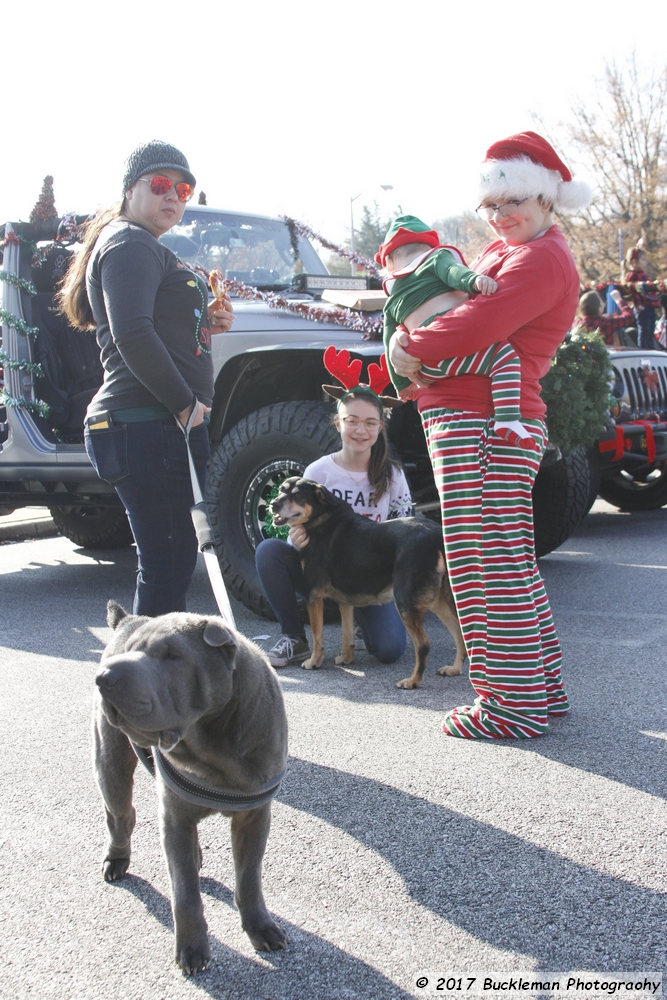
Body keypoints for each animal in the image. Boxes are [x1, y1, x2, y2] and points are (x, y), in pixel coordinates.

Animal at [93, 596, 288, 972]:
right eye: (131, 651)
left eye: (173, 656)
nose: (105, 676)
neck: (212, 745)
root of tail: (127, 618)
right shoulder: (175, 818)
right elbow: (185, 892)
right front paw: (193, 948)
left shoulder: (254, 817)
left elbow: (249, 877)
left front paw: (261, 927)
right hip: (111, 762)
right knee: (121, 816)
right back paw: (117, 860)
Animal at [270, 478, 464, 688]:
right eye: (280, 490)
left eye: (298, 495)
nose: (273, 504)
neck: (321, 518)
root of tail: (437, 533)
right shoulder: (345, 602)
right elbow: (347, 635)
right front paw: (346, 658)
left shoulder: (313, 595)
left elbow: (317, 636)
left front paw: (314, 662)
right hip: (438, 601)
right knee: (459, 633)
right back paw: (454, 669)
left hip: (406, 602)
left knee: (423, 644)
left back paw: (413, 681)